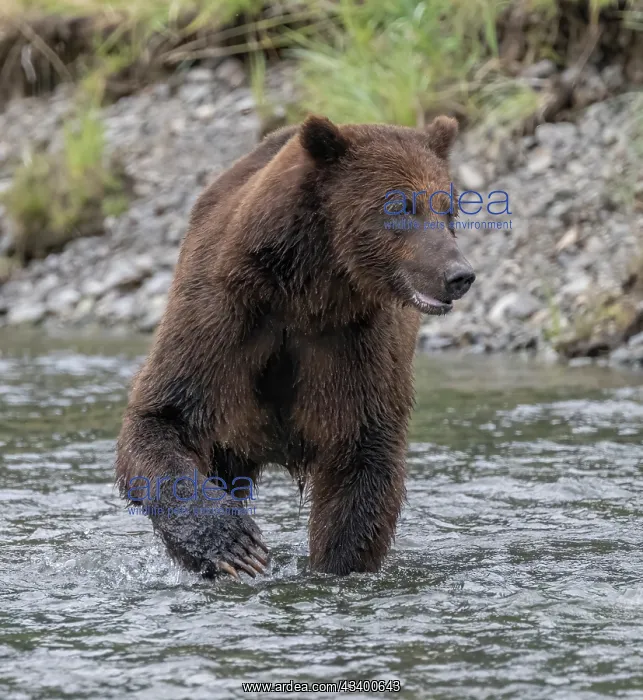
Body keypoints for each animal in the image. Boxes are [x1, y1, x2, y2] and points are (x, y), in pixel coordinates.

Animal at [115, 115, 475, 579]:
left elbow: (362, 459)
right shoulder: (222, 320)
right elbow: (162, 417)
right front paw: (234, 546)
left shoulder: (356, 345)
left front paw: (336, 564)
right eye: (400, 206)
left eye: (449, 209)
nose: (459, 274)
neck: (307, 294)